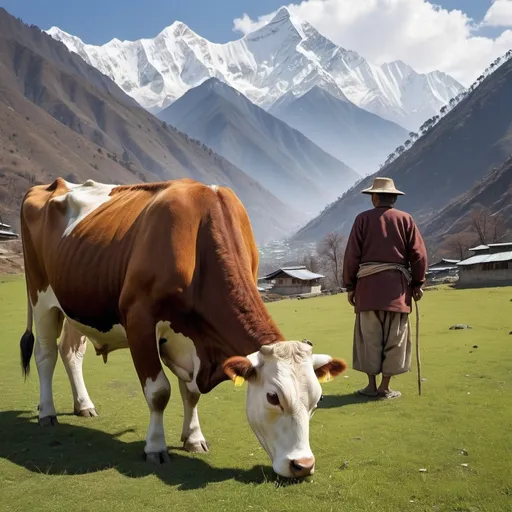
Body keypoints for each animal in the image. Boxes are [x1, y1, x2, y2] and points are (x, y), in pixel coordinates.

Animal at [20, 178, 348, 478]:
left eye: (317, 399)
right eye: (273, 397)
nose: (303, 465)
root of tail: (51, 185)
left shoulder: (192, 339)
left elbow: (191, 393)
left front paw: (193, 438)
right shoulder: (139, 319)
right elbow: (158, 392)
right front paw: (155, 447)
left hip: (77, 305)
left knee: (70, 353)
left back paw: (84, 405)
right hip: (41, 298)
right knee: (46, 355)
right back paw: (47, 412)